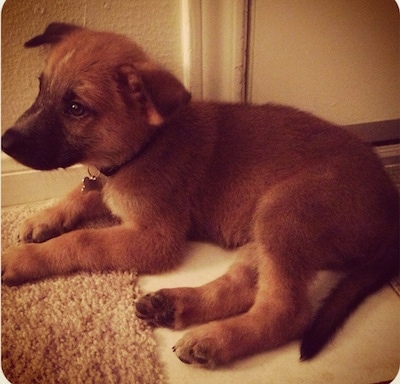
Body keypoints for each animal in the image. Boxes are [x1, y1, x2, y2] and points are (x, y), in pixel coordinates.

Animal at [1, 22, 398, 368]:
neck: (145, 146)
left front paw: (25, 258)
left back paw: (216, 339)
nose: (6, 141)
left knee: (286, 312)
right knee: (244, 286)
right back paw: (176, 306)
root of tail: (390, 201)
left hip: (285, 211)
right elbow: (79, 194)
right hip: (265, 228)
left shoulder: (155, 239)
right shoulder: (103, 184)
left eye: (75, 108)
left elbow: (82, 240)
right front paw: (42, 220)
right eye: (40, 89)